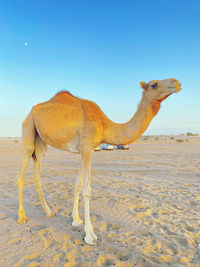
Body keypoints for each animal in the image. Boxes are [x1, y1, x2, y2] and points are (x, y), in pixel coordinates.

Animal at [18, 78, 182, 245]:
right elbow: (87, 189)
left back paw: (49, 212)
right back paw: (22, 217)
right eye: (154, 84)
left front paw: (76, 219)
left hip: (41, 142)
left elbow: (77, 184)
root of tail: (31, 112)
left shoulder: (85, 150)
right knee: (21, 175)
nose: (176, 82)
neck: (103, 124)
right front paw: (90, 235)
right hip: (28, 129)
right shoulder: (87, 148)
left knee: (37, 174)